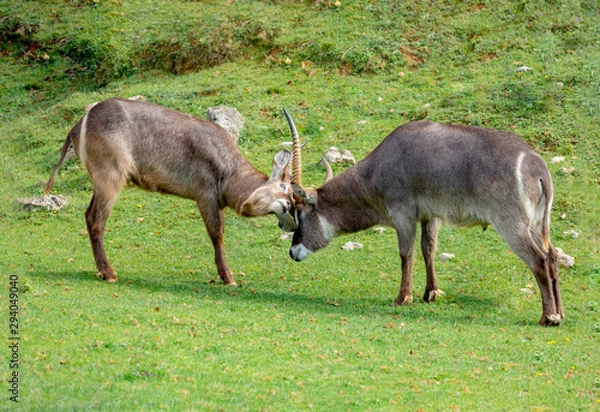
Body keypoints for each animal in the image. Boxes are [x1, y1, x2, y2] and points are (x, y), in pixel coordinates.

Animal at [43, 99, 296, 286]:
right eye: (284, 187)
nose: (291, 212)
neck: (229, 169)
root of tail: (80, 123)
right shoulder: (204, 195)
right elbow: (217, 233)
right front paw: (228, 278)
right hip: (111, 178)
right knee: (97, 219)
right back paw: (109, 273)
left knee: (88, 215)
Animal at [284, 112, 564, 326]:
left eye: (298, 212)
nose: (292, 252)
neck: (377, 168)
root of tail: (535, 164)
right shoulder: (432, 215)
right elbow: (428, 248)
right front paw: (430, 293)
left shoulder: (403, 213)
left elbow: (405, 253)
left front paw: (402, 298)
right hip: (537, 225)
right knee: (552, 256)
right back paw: (559, 312)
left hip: (512, 224)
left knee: (539, 260)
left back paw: (548, 317)